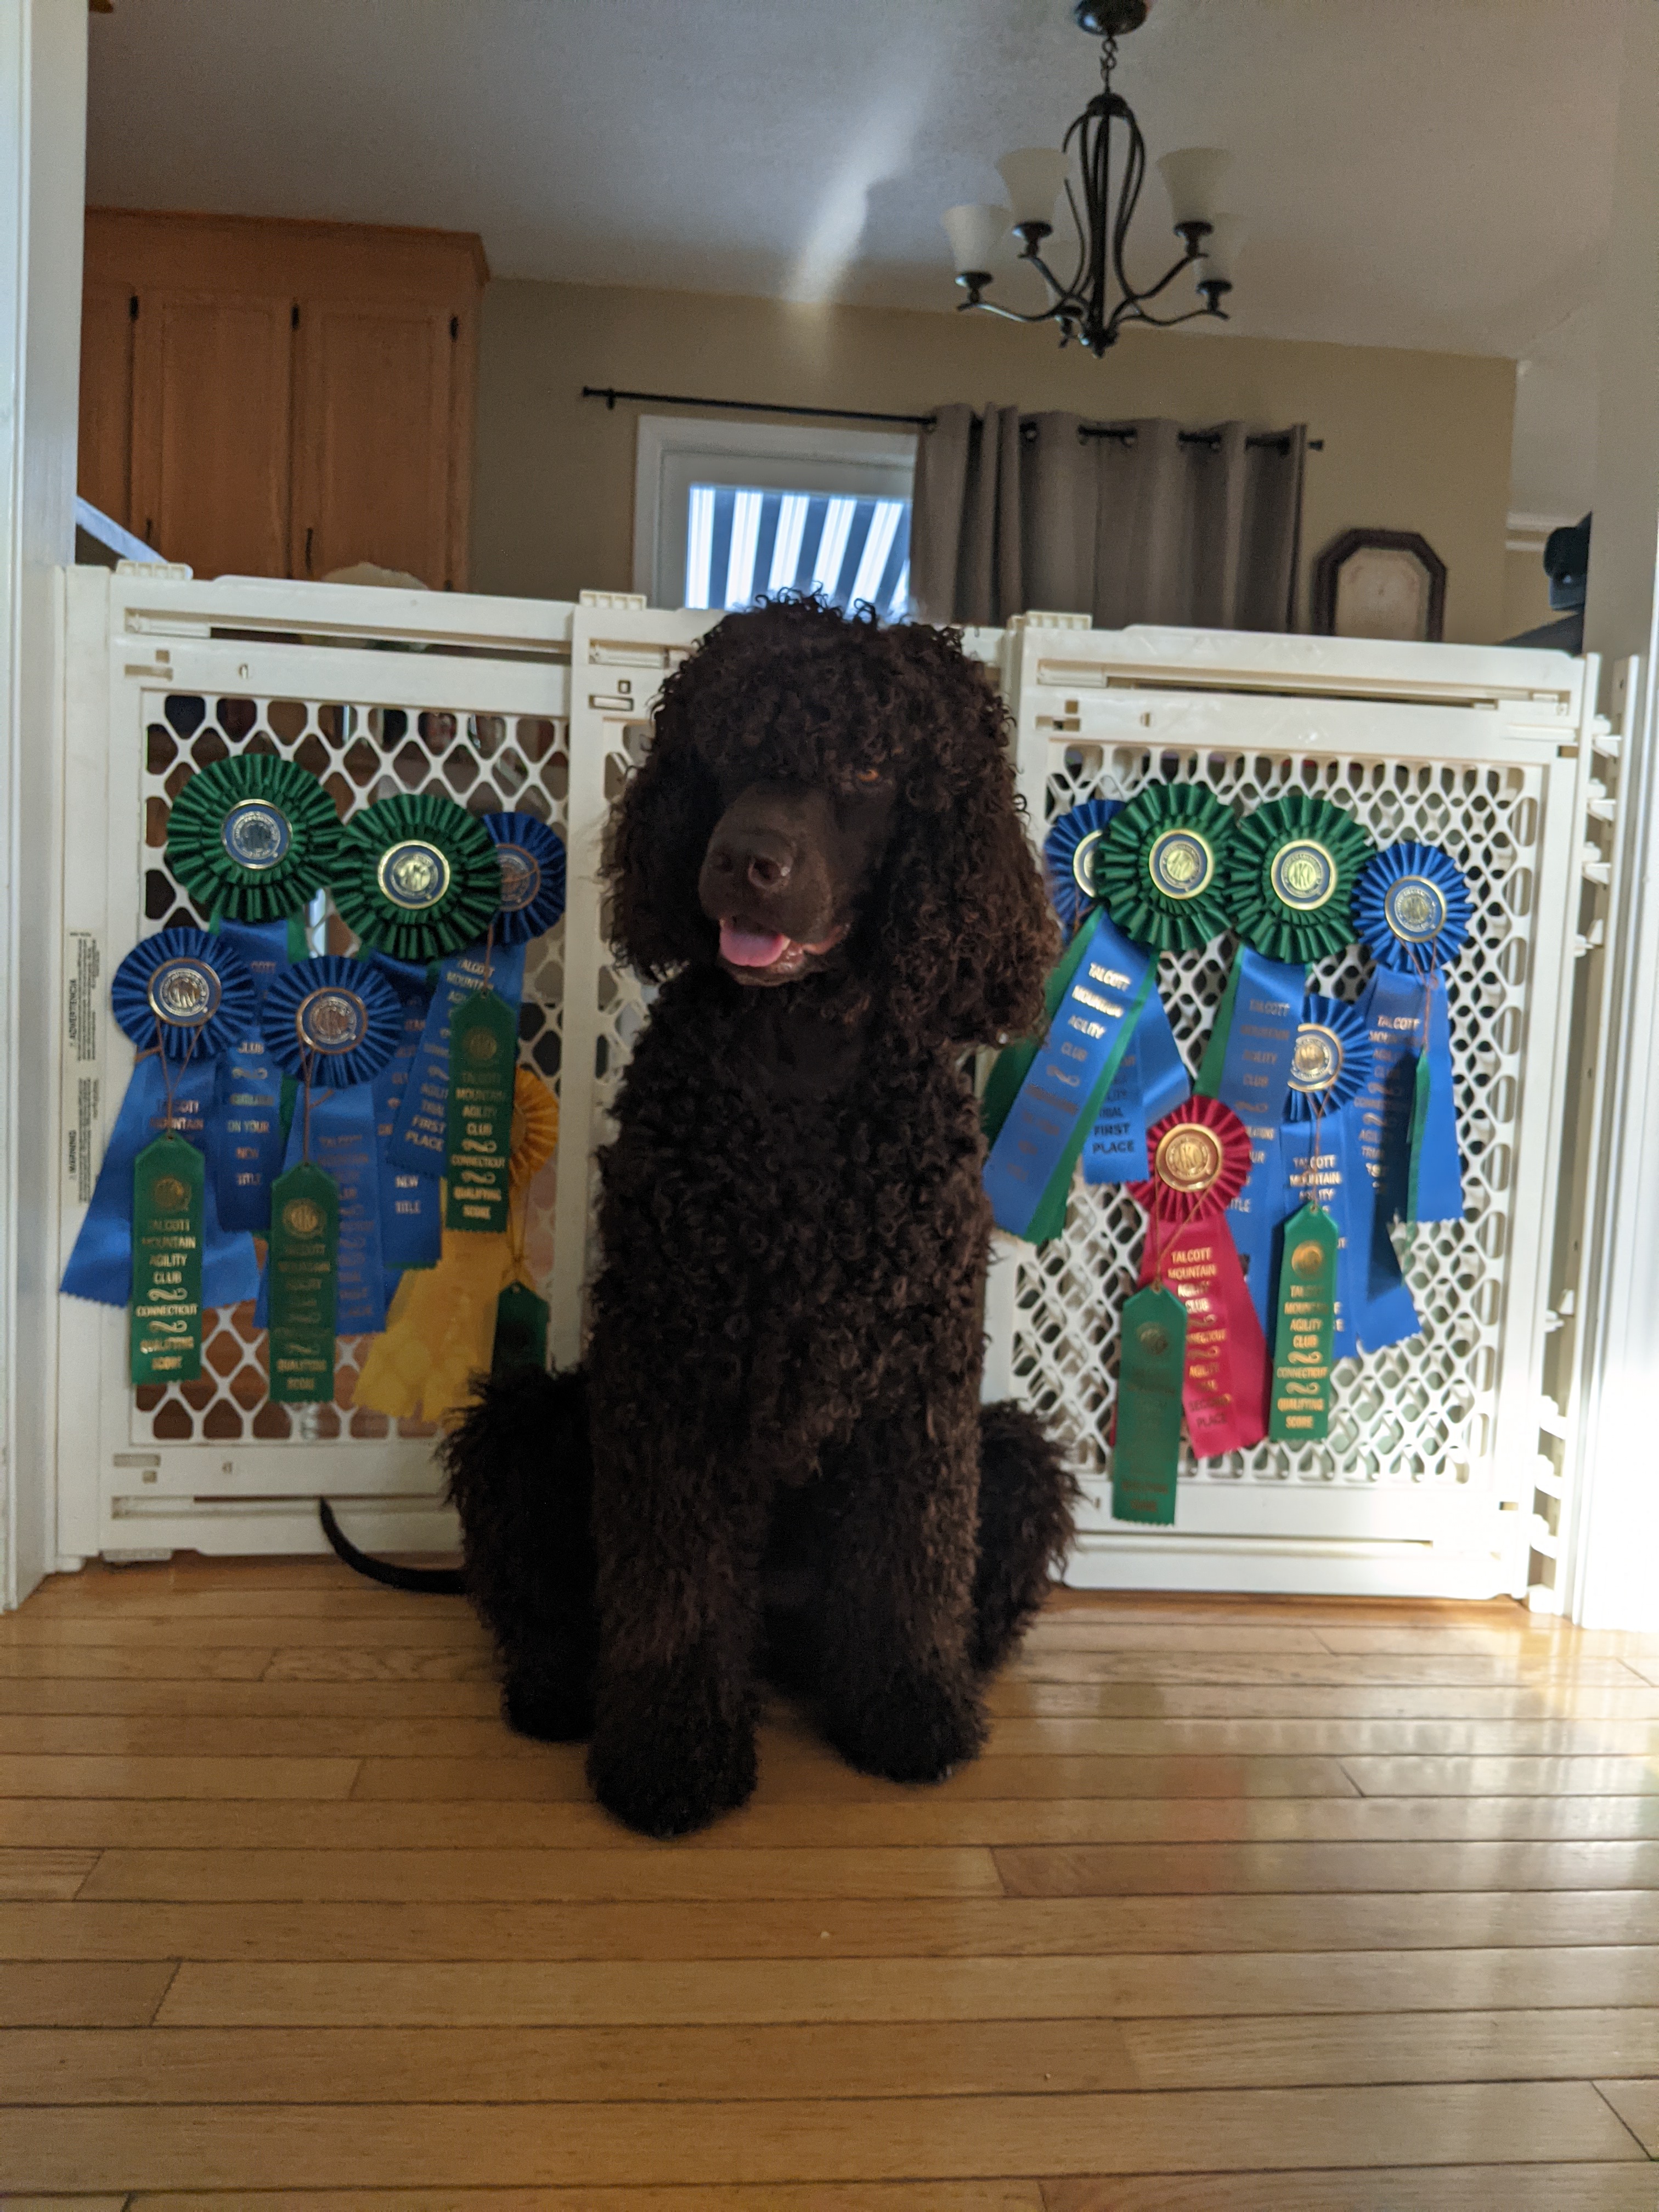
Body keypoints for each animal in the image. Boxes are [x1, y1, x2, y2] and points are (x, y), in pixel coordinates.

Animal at [442, 592, 1079, 1831]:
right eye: (730, 751)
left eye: (873, 767)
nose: (745, 862)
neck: (802, 1065)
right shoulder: (672, 1366)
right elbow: (674, 1586)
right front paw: (671, 1752)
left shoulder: (916, 1381)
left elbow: (910, 1560)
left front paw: (906, 1711)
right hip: (528, 1424)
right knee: (552, 1611)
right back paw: (561, 1692)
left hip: (1010, 1452)